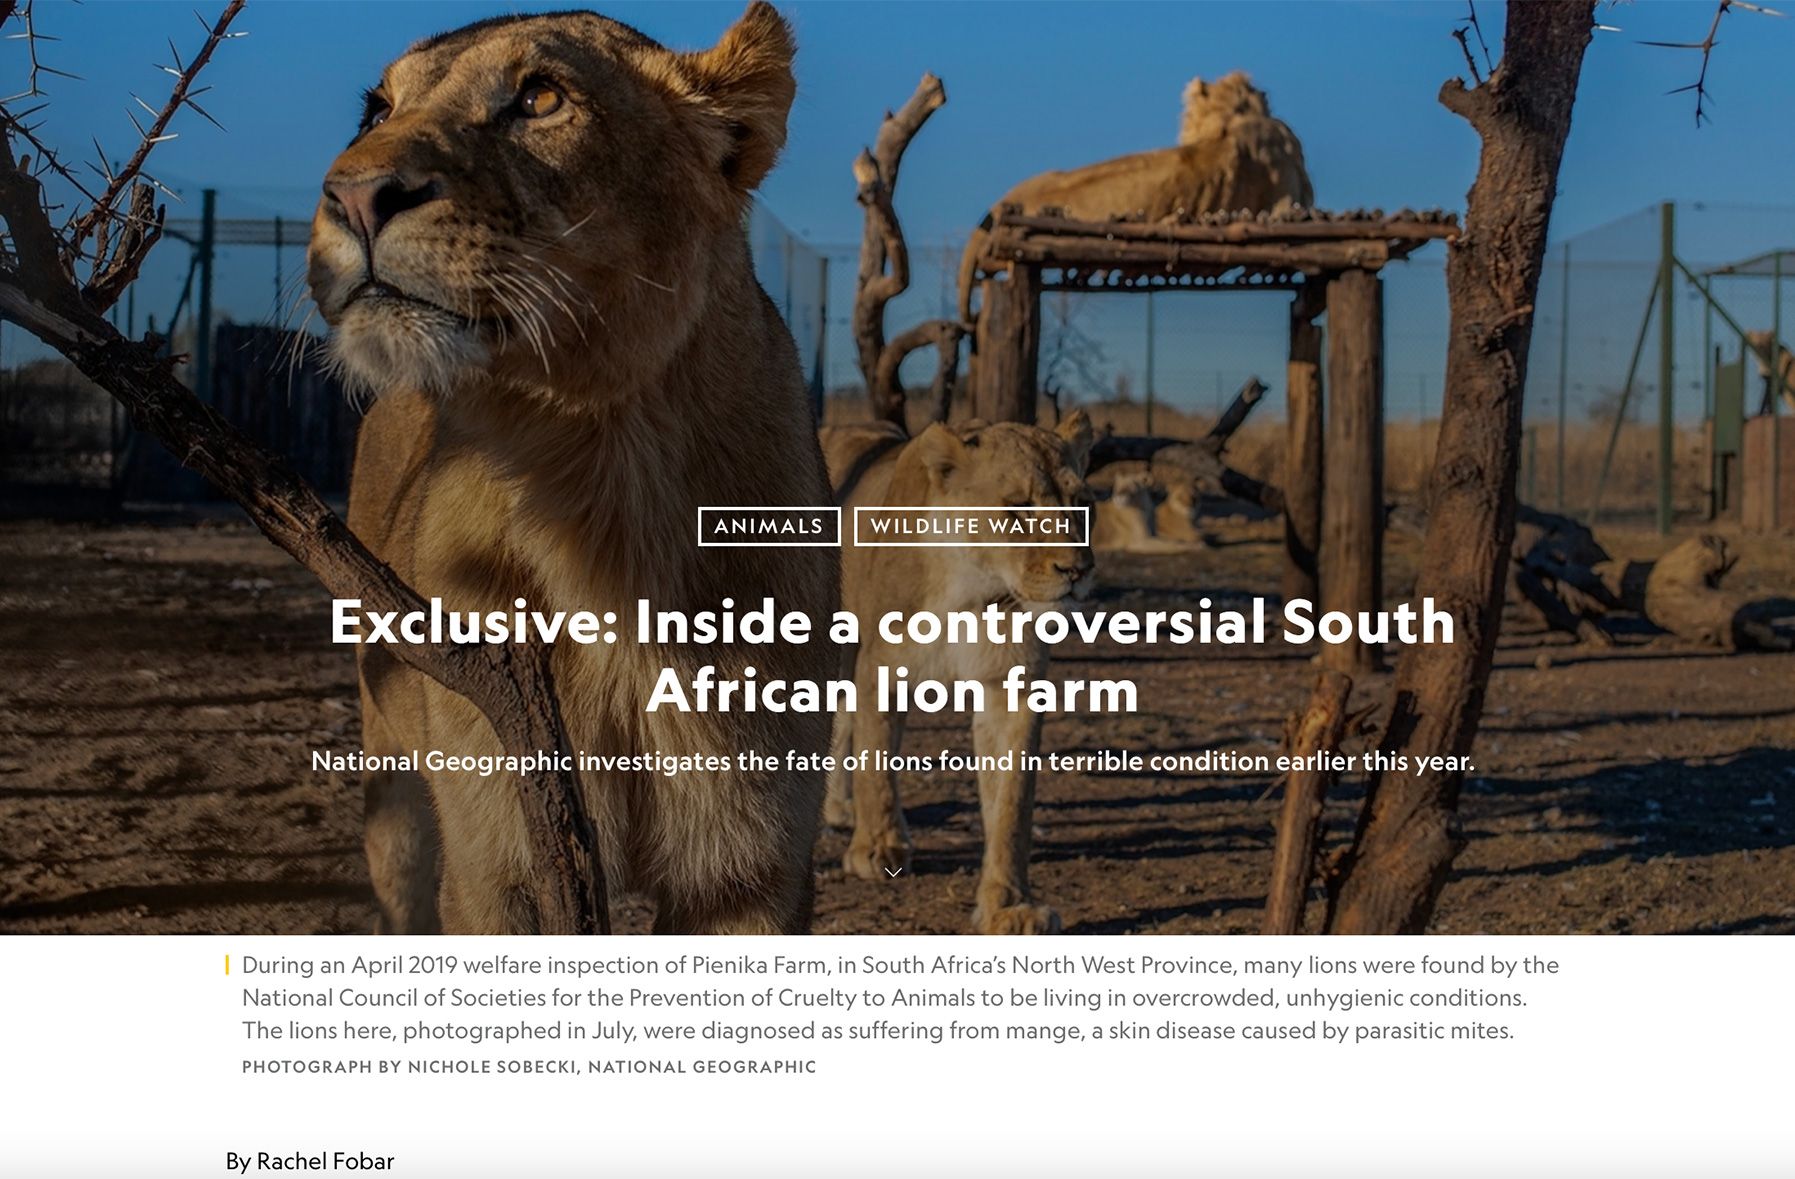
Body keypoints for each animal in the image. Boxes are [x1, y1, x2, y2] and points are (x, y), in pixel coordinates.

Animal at [308, 4, 838, 934]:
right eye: (376, 111)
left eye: (540, 98)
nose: (353, 195)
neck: (598, 473)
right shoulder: (497, 861)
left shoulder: (750, 867)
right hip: (396, 790)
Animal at [818, 413, 1095, 934]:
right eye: (1019, 508)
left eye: (1081, 505)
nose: (1078, 571)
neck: (973, 590)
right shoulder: (880, 667)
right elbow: (876, 760)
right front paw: (878, 847)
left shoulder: (1010, 686)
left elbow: (1012, 806)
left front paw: (1009, 905)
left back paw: (838, 808)